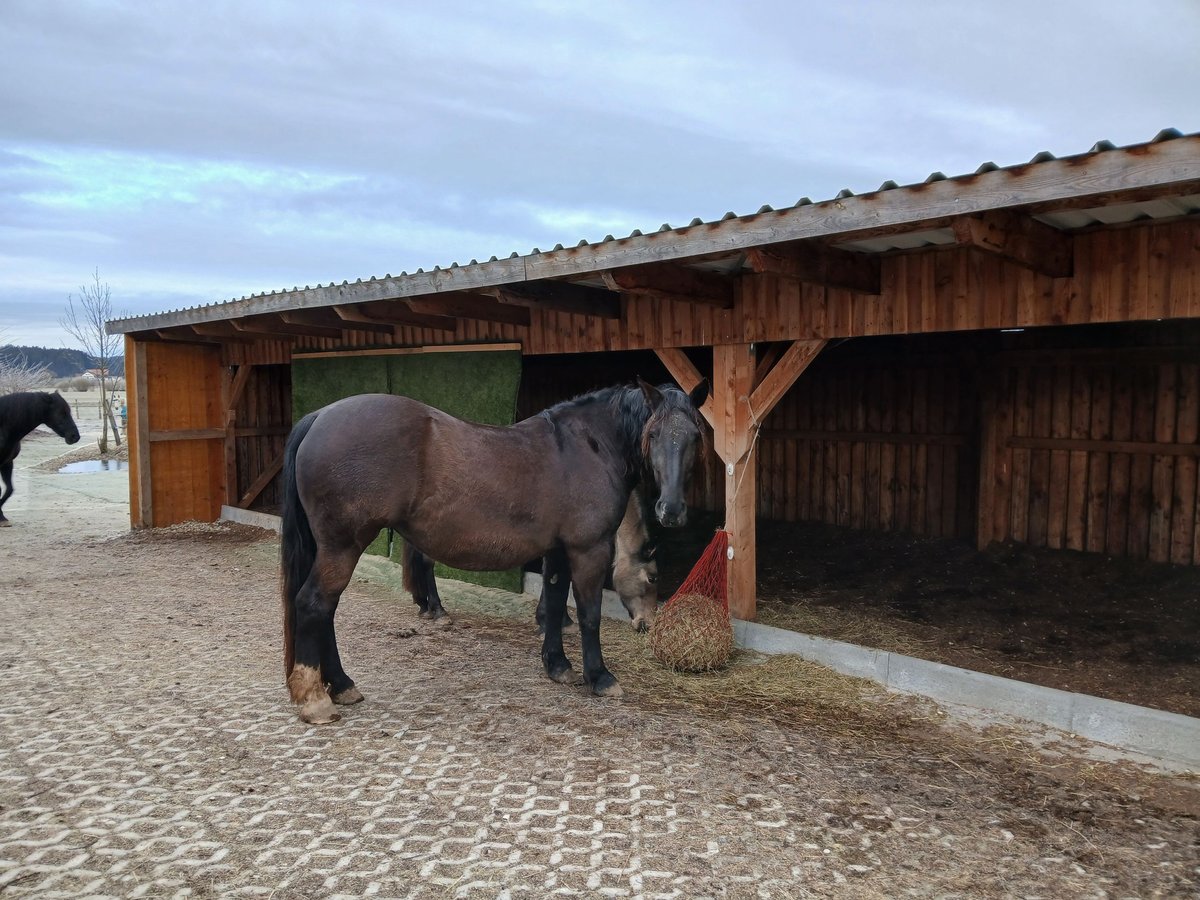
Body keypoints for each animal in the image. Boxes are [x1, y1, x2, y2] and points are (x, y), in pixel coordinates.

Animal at [0, 388, 81, 528]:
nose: (75, 436)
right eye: (62, 413)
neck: (3, 426)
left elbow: (9, 490)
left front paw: (2, 518)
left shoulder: (7, 463)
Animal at [280, 379, 705, 724]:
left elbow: (554, 604)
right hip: (342, 547)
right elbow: (589, 613)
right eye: (654, 434)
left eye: (695, 437)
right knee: (314, 604)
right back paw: (317, 699)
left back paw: (341, 685)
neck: (585, 447)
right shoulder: (588, 550)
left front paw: (557, 666)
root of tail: (319, 416)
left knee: (325, 609)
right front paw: (599, 677)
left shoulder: (557, 552)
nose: (671, 510)